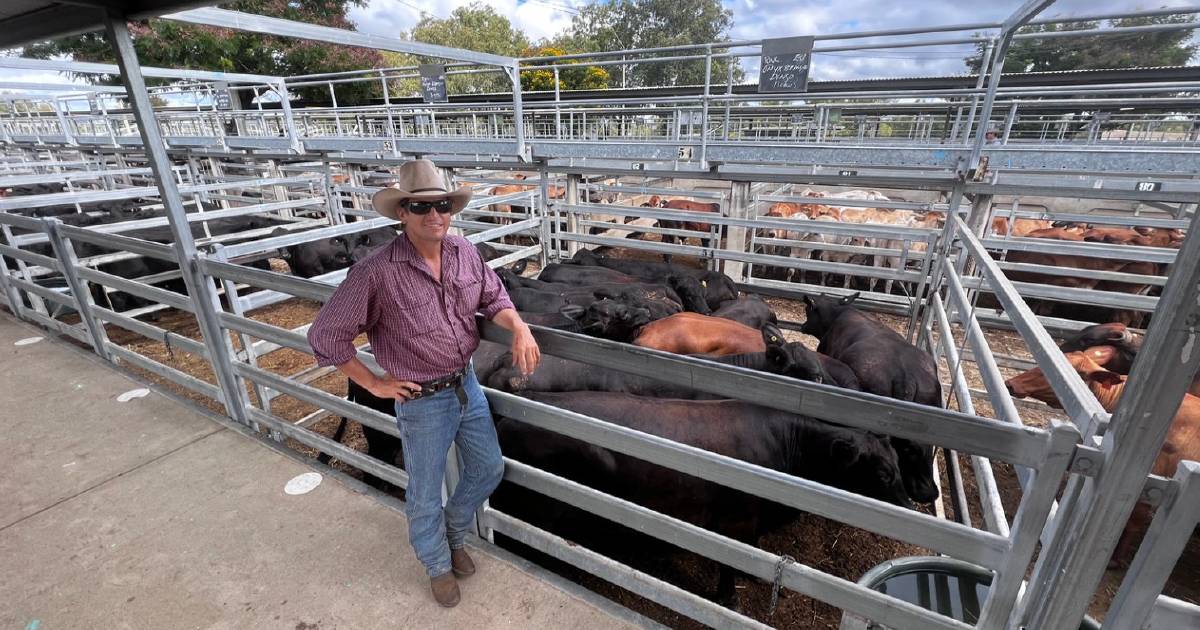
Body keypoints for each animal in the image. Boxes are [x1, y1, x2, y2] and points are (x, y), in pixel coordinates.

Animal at [494, 391, 907, 602]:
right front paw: (728, 597)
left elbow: (751, 551)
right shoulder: (735, 522)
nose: (907, 505)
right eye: (882, 474)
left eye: (898, 465)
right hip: (542, 506)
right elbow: (729, 564)